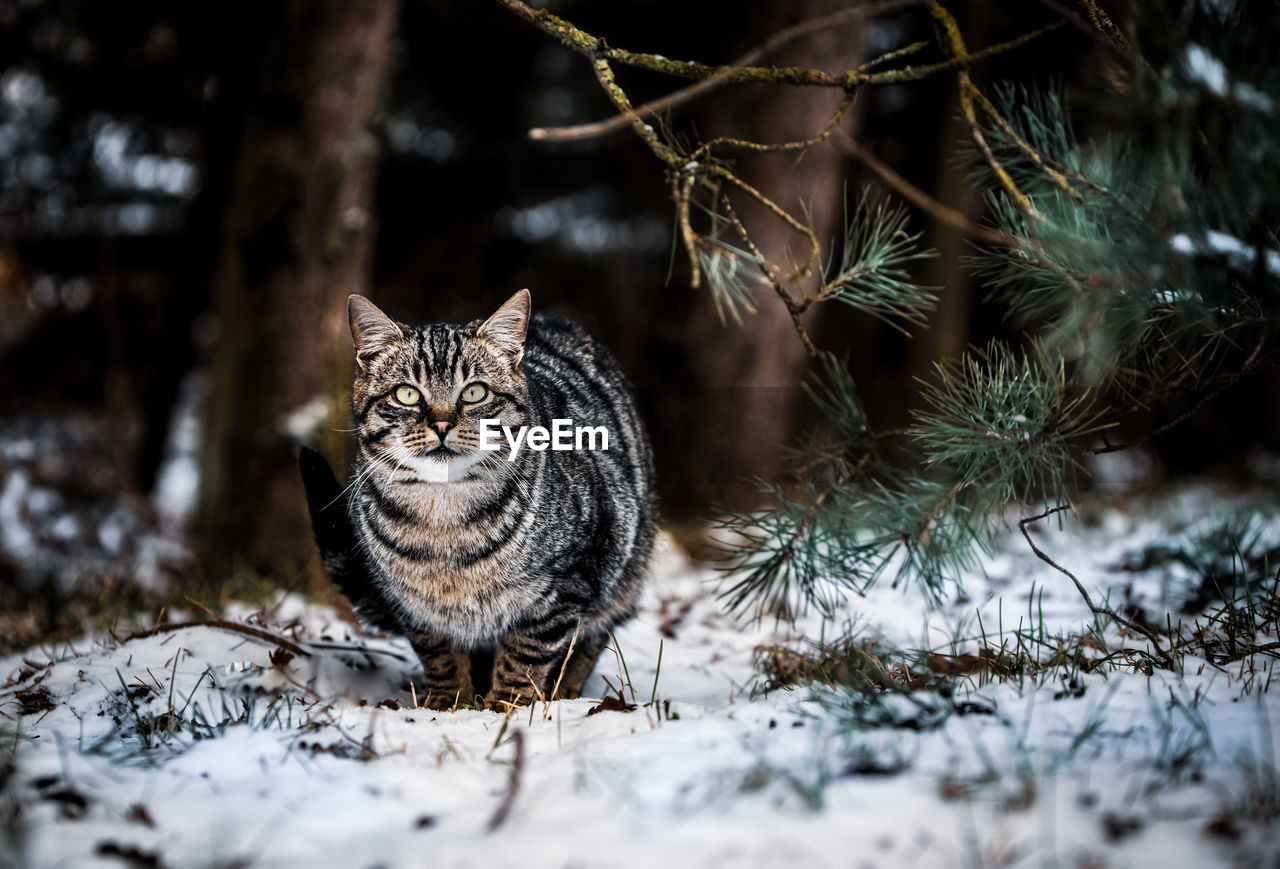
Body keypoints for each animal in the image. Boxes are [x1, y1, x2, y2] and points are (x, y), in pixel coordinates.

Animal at [299, 289, 655, 711]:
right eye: (407, 394)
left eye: (474, 392)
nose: (441, 423)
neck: (444, 519)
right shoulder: (414, 605)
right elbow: (439, 653)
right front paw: (448, 703)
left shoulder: (571, 578)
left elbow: (525, 655)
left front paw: (505, 706)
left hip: (625, 571)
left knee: (590, 638)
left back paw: (563, 692)